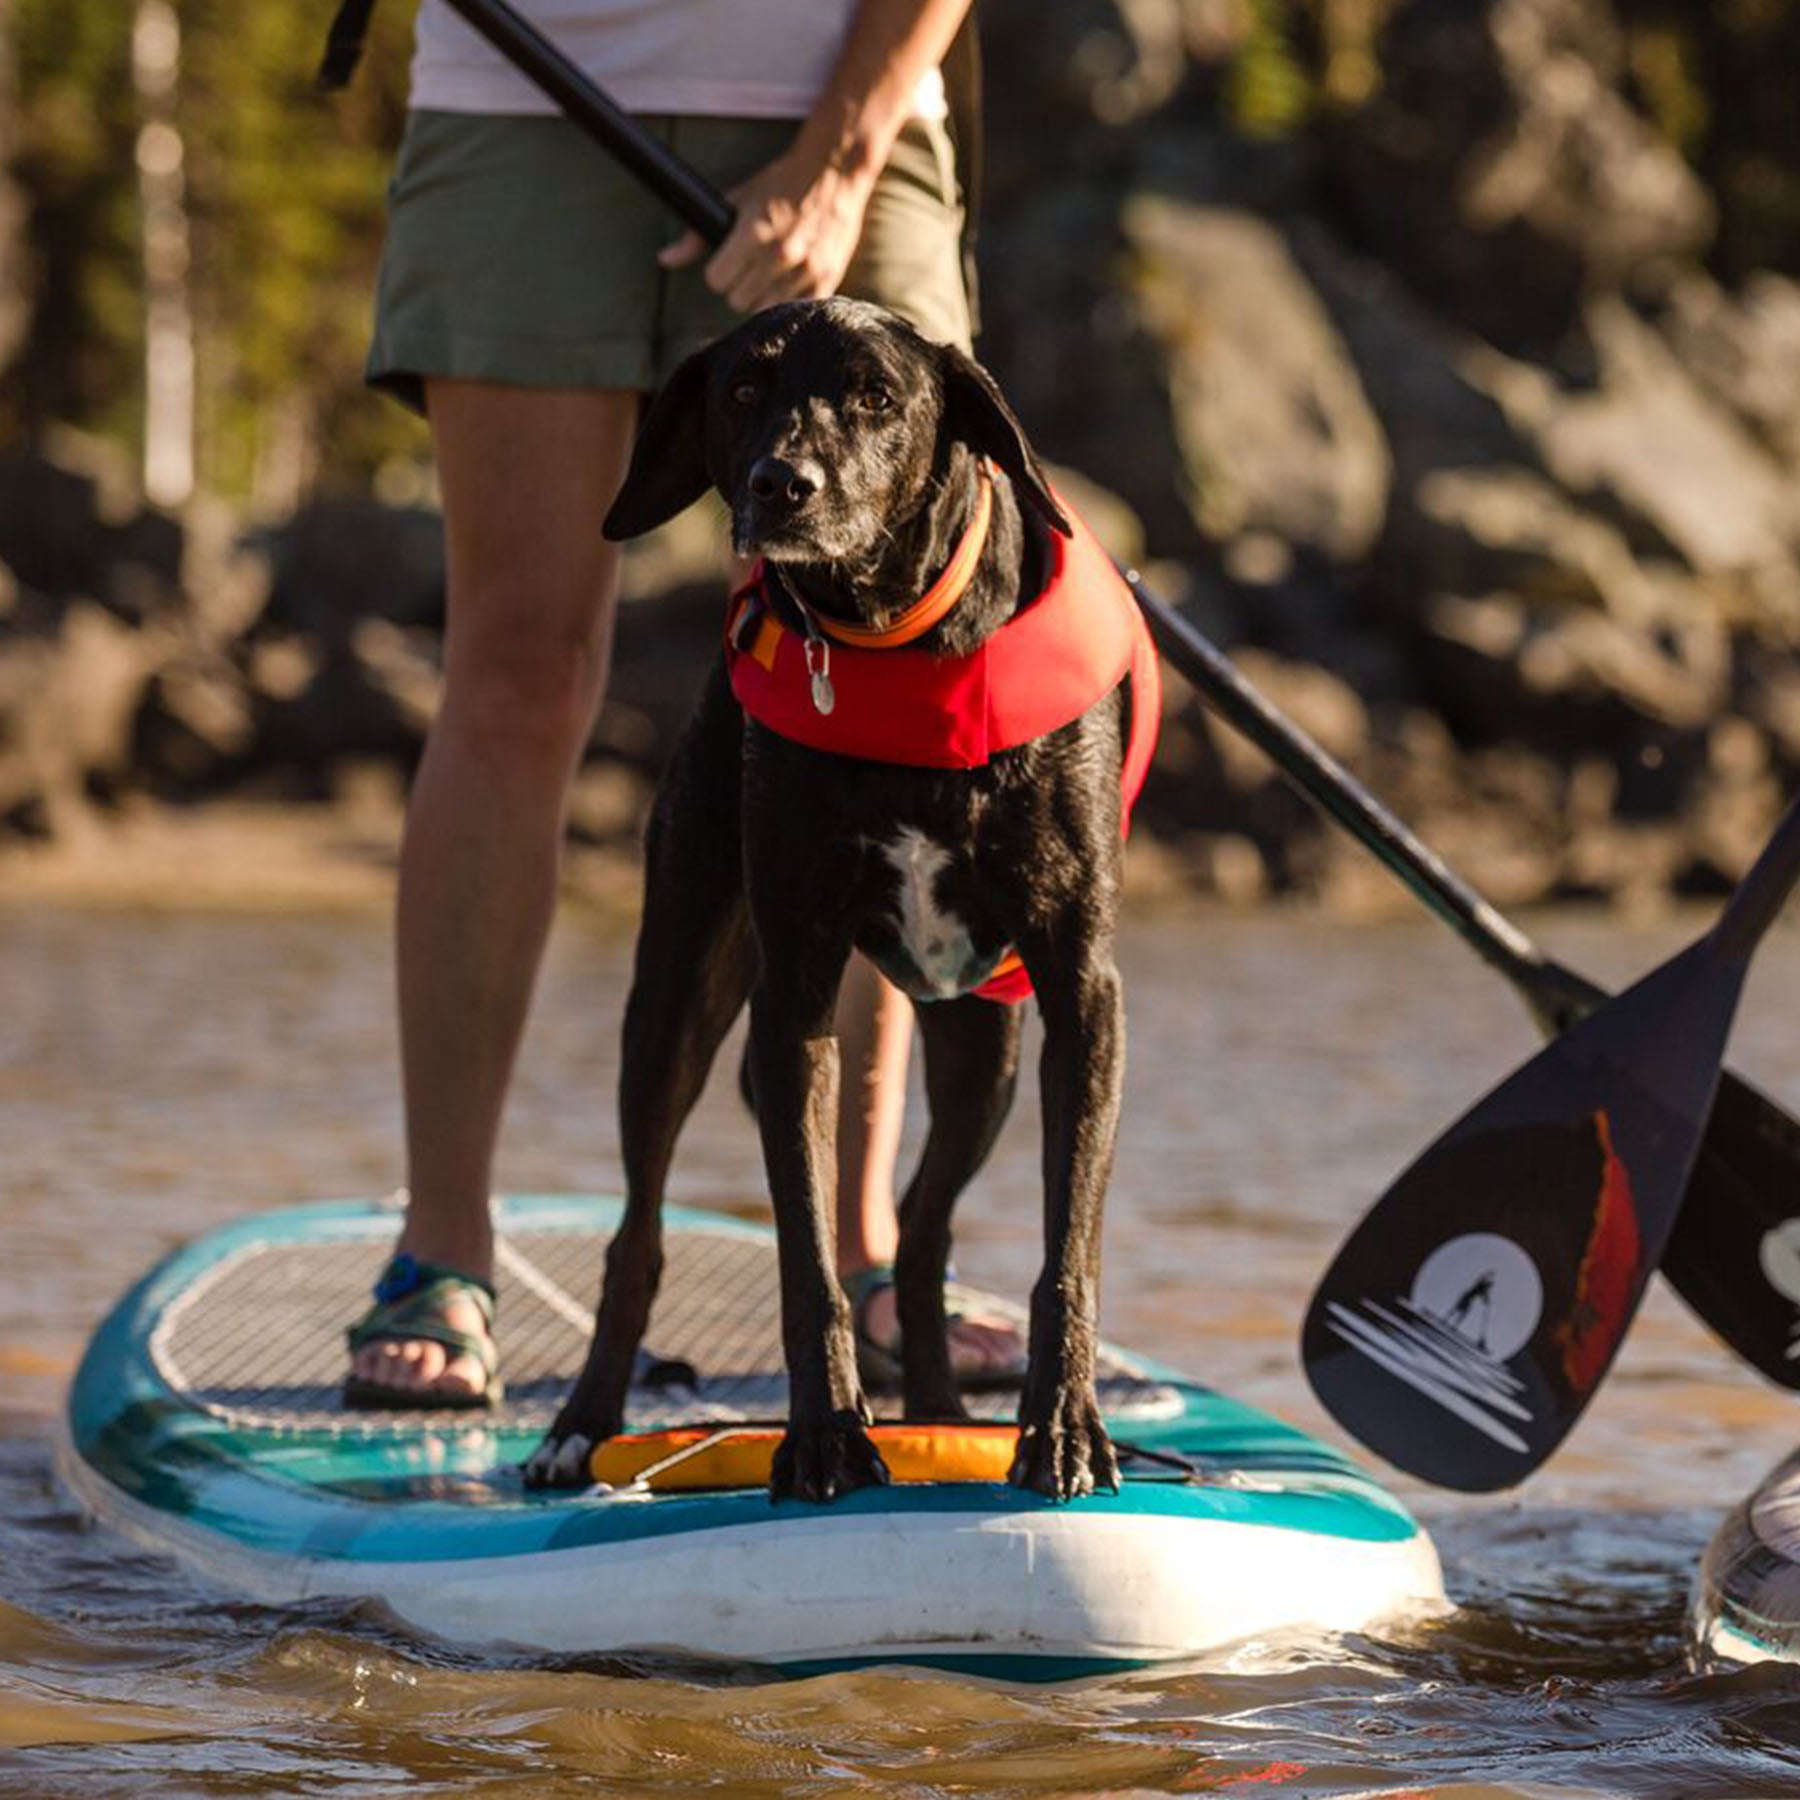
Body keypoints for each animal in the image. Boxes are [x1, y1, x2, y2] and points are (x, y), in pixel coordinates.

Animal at [525, 298, 1152, 1504]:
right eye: (742, 390)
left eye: (876, 396)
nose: (784, 484)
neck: (899, 644)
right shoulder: (795, 992)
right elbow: (805, 1256)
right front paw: (824, 1436)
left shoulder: (1083, 997)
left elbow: (1071, 1248)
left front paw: (1060, 1427)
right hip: (675, 993)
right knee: (638, 1234)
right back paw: (582, 1426)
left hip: (986, 1052)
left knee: (920, 1230)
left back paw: (946, 1415)